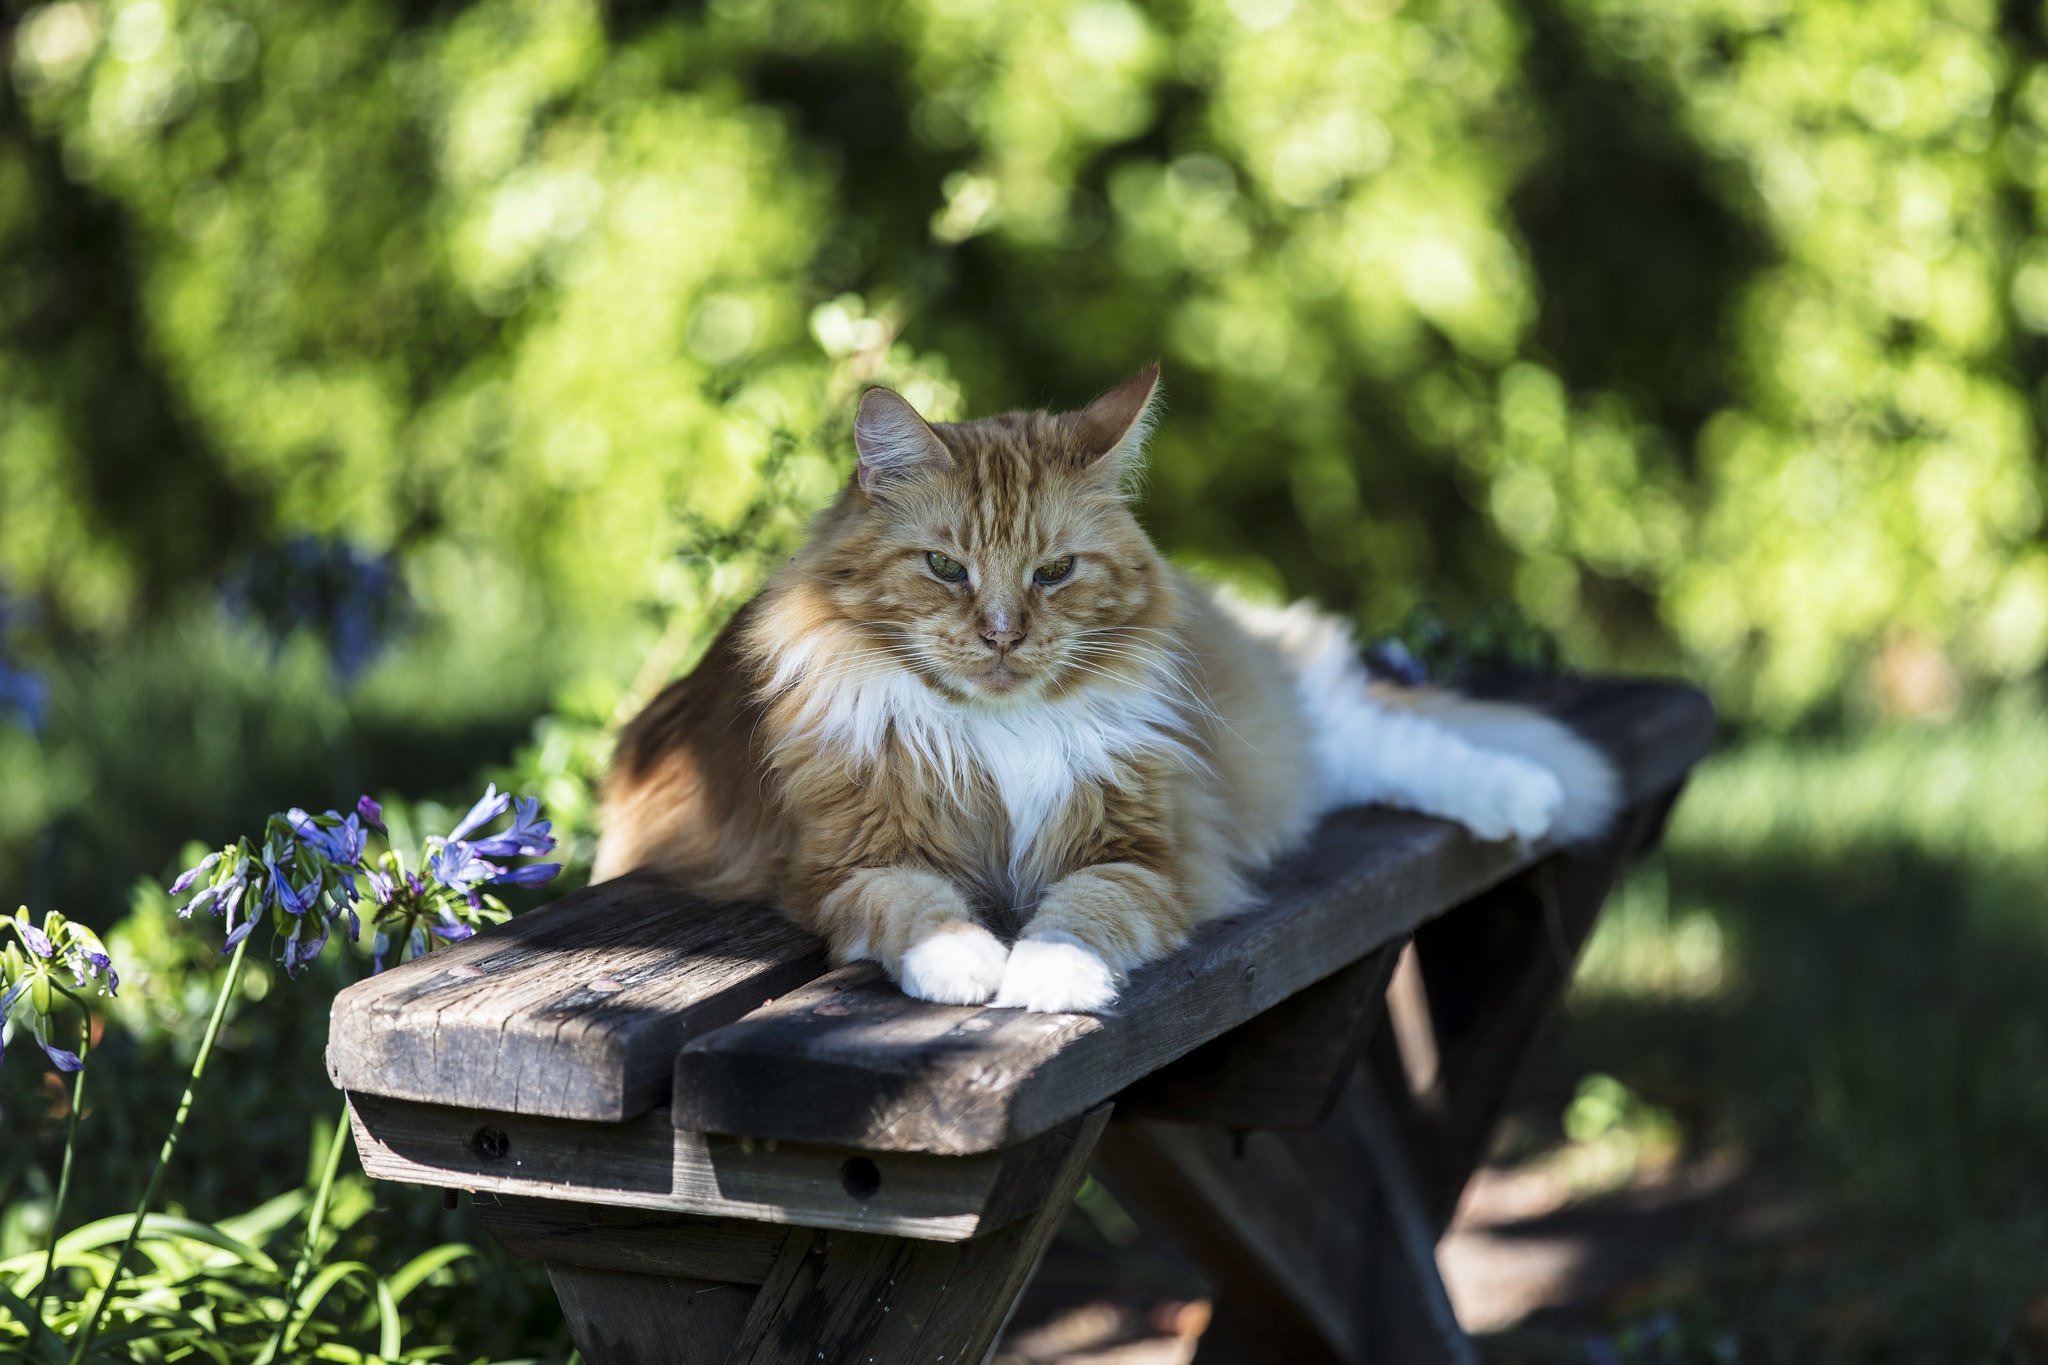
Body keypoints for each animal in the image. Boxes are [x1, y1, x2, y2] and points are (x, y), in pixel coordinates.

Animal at [593, 368, 1613, 1010]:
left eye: (1053, 572)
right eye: (945, 568)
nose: (1004, 634)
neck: (996, 731)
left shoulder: (1137, 849)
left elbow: (1083, 914)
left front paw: (1048, 977)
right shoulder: (853, 859)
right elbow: (917, 908)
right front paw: (966, 963)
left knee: (1387, 737)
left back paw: (1524, 793)